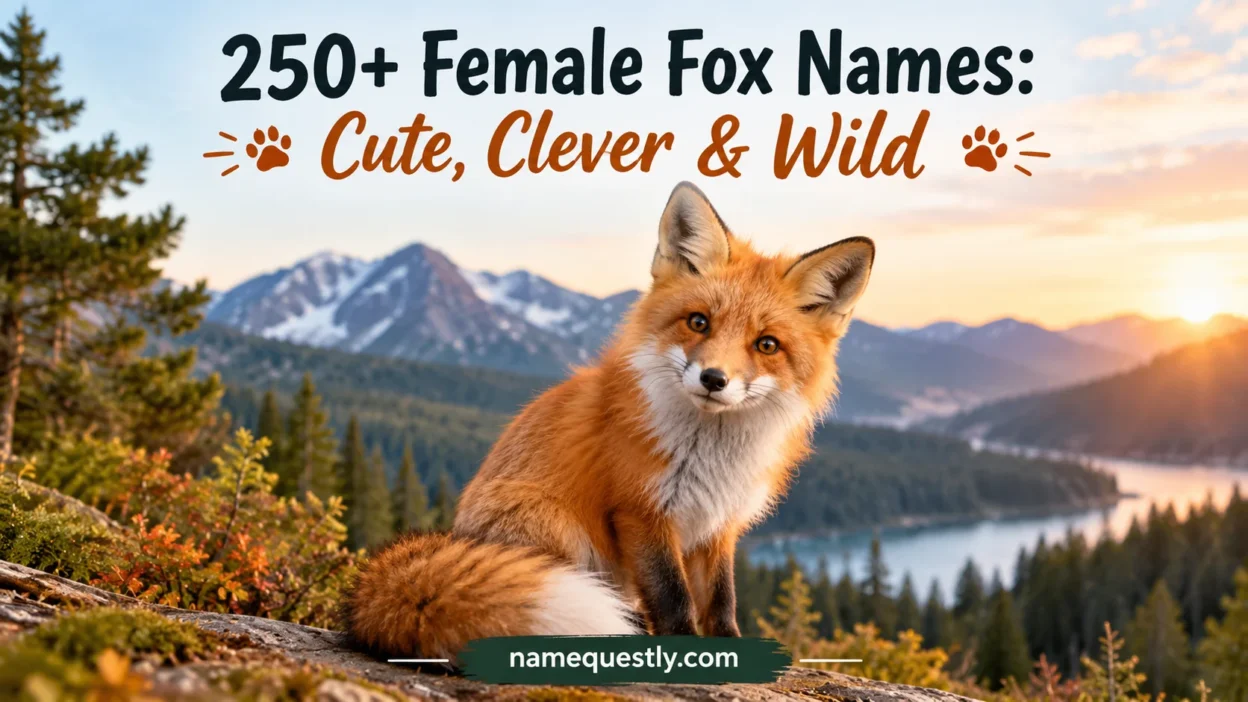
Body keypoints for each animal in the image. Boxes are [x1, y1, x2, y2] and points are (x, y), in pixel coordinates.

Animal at [344, 182, 875, 662]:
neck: (711, 455)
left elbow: (721, 602)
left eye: (766, 345)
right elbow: (673, 598)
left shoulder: (719, 524)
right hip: (557, 528)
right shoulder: (642, 511)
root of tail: (456, 535)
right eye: (698, 322)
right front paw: (686, 652)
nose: (713, 379)